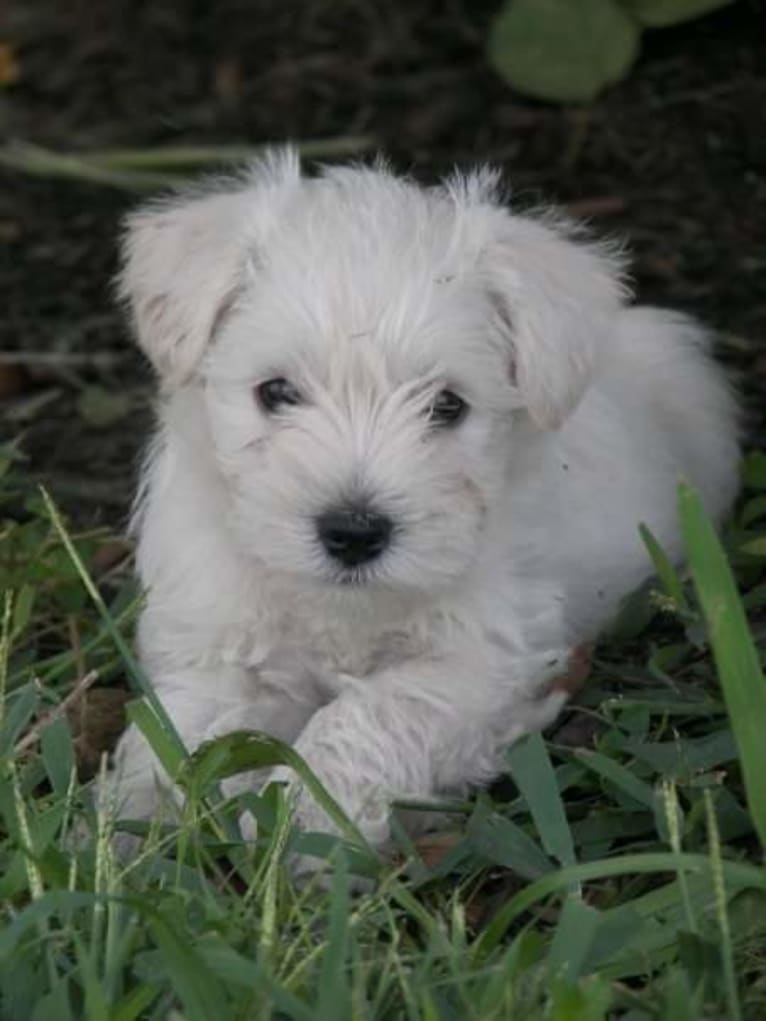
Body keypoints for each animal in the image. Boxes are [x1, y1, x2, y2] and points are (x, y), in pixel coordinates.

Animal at [106, 149, 739, 853]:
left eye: (447, 405)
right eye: (276, 391)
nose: (354, 533)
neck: (343, 610)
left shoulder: (485, 661)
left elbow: (372, 714)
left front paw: (306, 820)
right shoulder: (217, 641)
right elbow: (182, 728)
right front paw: (130, 831)